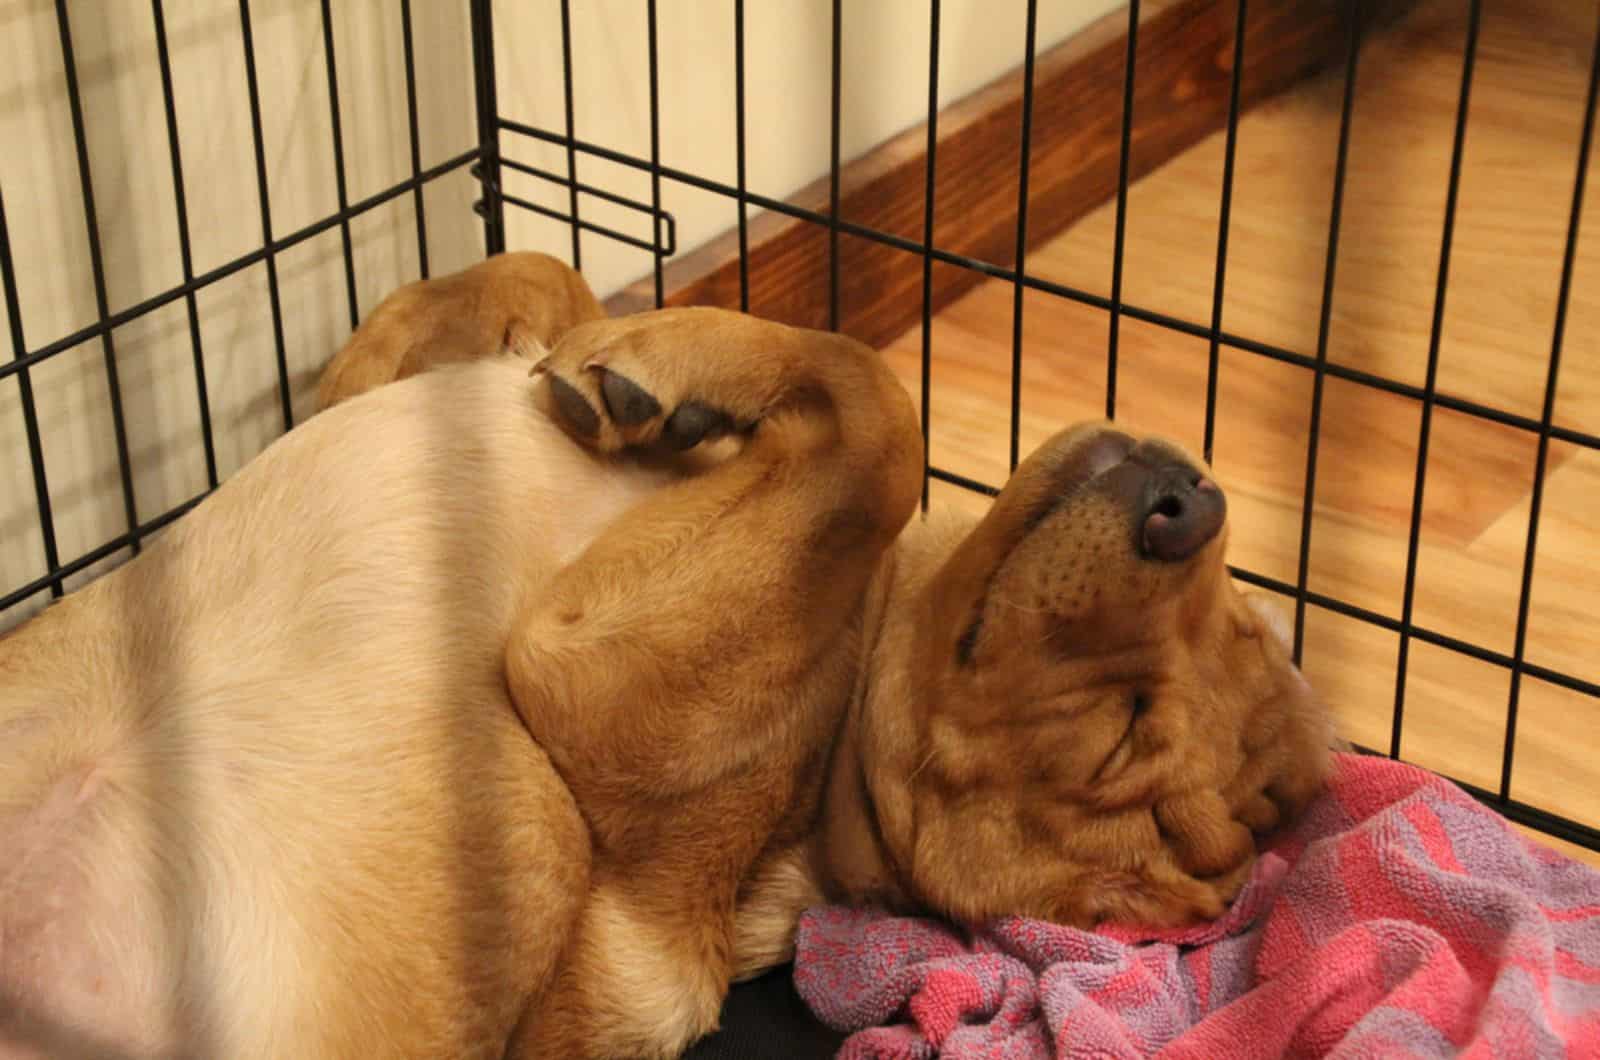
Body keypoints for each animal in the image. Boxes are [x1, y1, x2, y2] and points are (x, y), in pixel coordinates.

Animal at [0, 252, 1331, 1056]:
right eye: (1239, 623)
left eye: (1118, 740)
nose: (1188, 505)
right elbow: (544, 284)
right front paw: (623, 344)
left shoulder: (591, 679)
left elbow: (880, 415)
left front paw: (669, 360)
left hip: (527, 813)